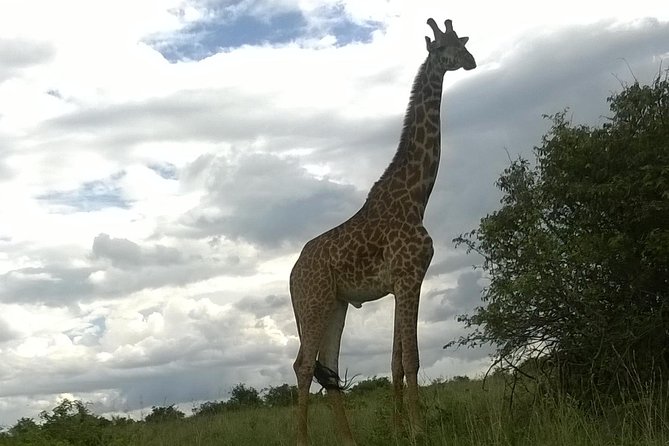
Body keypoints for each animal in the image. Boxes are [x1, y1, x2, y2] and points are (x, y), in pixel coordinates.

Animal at [290, 17, 472, 446]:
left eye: (463, 43)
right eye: (444, 49)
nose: (470, 61)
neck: (417, 196)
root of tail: (291, 274)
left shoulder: (403, 282)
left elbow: (395, 361)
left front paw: (398, 429)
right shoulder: (409, 276)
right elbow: (412, 358)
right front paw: (420, 430)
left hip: (336, 305)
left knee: (328, 367)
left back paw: (349, 440)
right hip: (313, 303)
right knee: (304, 365)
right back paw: (302, 439)